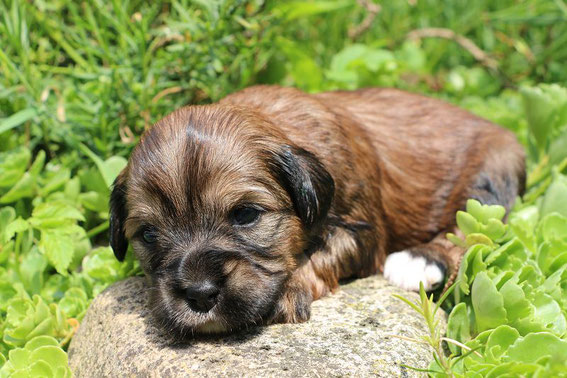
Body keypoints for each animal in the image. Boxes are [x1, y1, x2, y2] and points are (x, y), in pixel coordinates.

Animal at [108, 84, 524, 336]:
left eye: (245, 215)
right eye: (148, 234)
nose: (199, 295)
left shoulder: (360, 231)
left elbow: (321, 256)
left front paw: (289, 291)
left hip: (490, 177)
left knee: (471, 226)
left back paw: (418, 260)